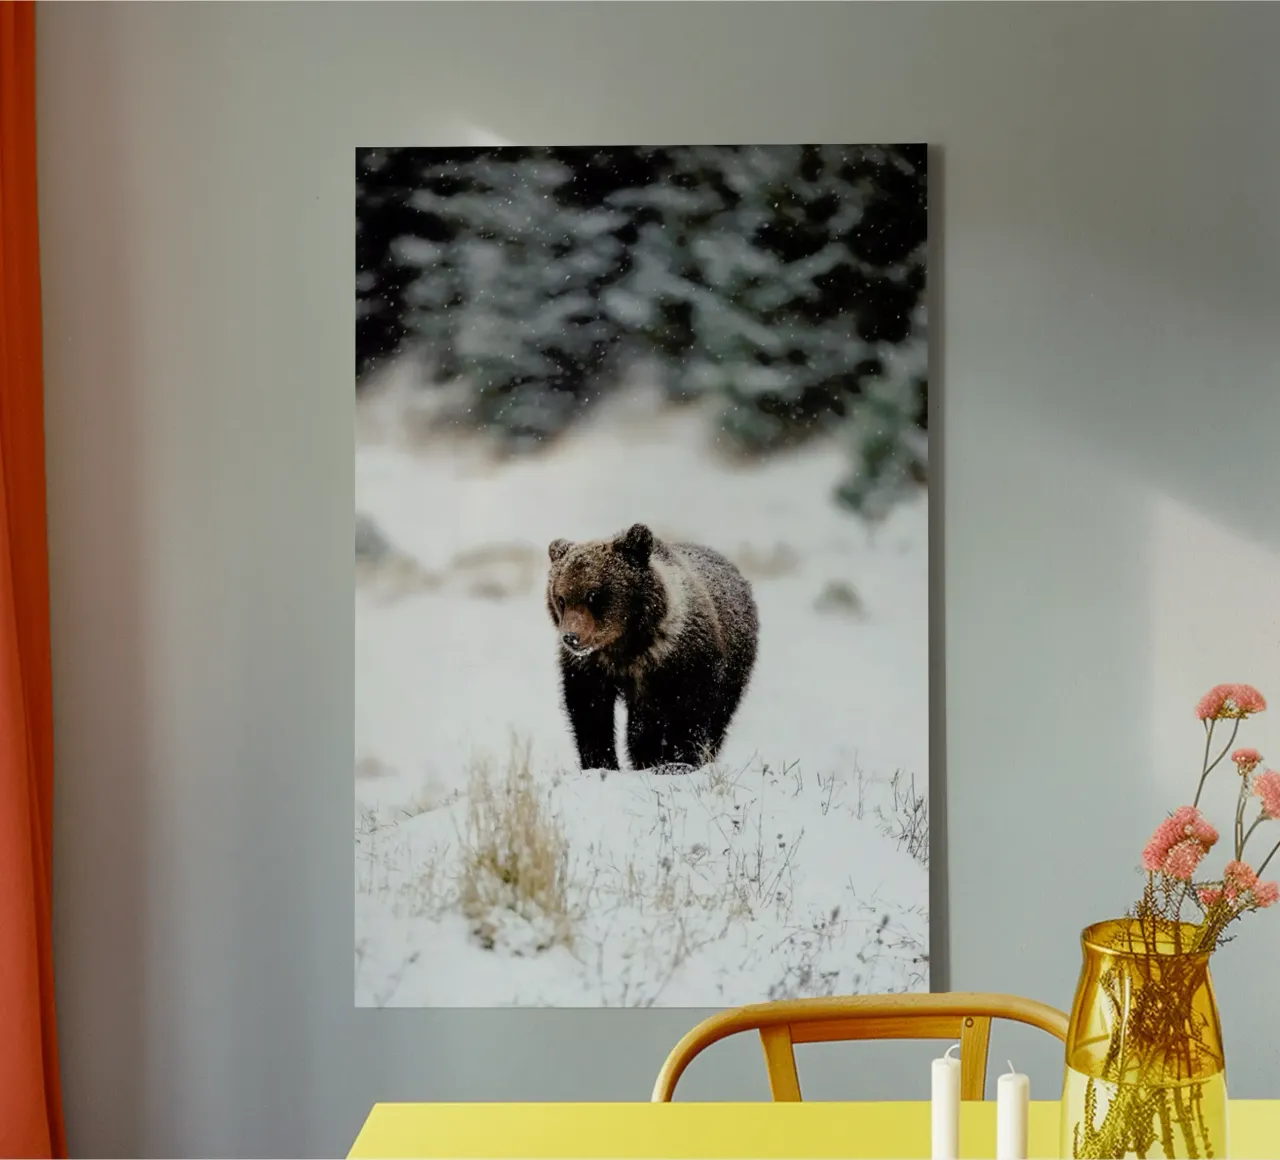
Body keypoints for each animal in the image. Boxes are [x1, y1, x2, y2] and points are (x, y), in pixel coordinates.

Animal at [545, 523, 759, 773]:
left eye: (593, 595)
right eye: (561, 598)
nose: (571, 637)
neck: (626, 647)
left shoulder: (682, 661)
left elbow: (689, 713)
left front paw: (678, 761)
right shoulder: (591, 668)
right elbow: (590, 713)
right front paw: (601, 762)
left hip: (736, 666)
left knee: (719, 716)